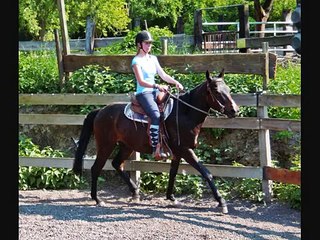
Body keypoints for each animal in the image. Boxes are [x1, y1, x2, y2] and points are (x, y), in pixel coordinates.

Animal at [72, 68, 238, 213]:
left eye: (228, 89)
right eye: (216, 91)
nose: (234, 110)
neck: (184, 113)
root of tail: (100, 111)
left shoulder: (177, 152)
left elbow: (173, 173)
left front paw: (171, 197)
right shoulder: (185, 150)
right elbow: (206, 173)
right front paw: (221, 202)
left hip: (127, 146)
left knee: (117, 164)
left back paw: (135, 192)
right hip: (106, 145)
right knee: (96, 168)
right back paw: (97, 199)